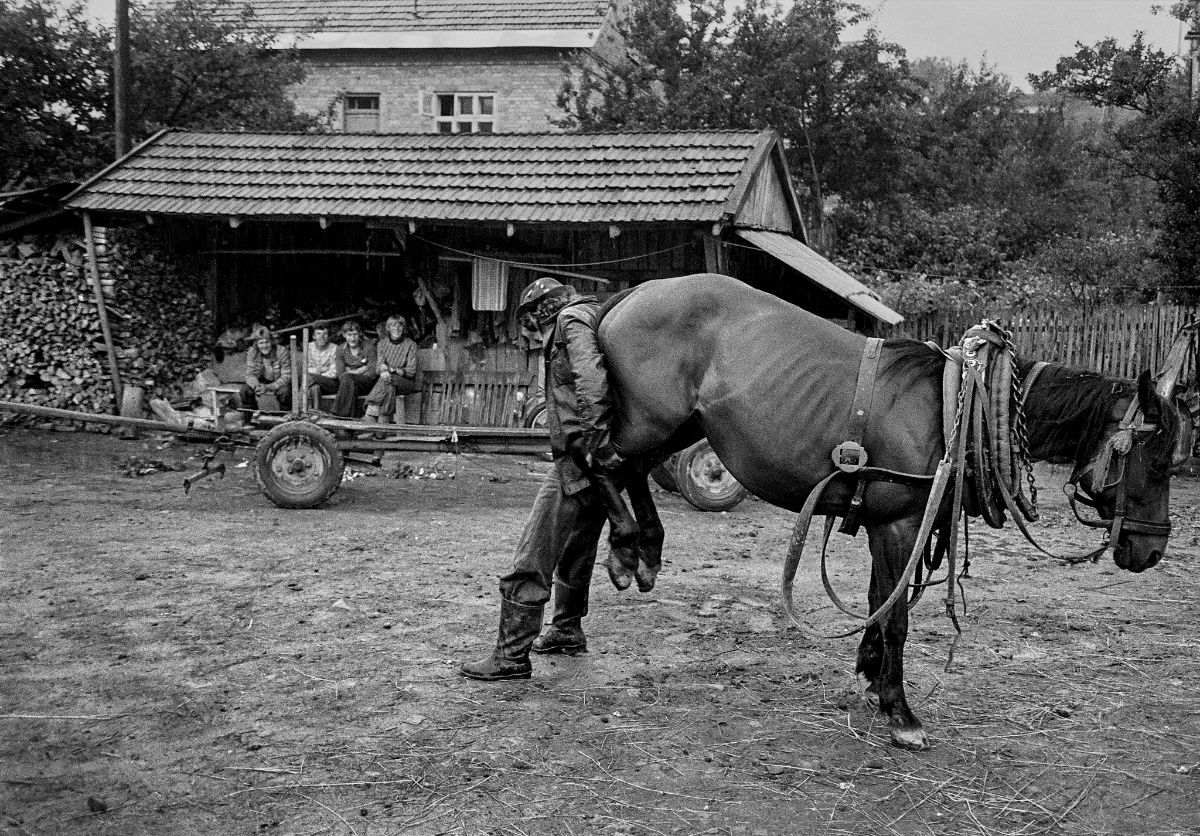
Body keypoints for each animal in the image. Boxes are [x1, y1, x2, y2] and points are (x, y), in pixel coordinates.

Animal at [592, 273, 1190, 748]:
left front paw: (872, 677)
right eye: (1156, 461)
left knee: (630, 469)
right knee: (597, 460)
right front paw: (902, 714)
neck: (956, 411)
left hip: (676, 426)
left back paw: (645, 550)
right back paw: (624, 550)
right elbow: (896, 616)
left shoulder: (892, 523)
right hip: (650, 420)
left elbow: (879, 602)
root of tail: (635, 293)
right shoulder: (900, 523)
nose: (1152, 549)